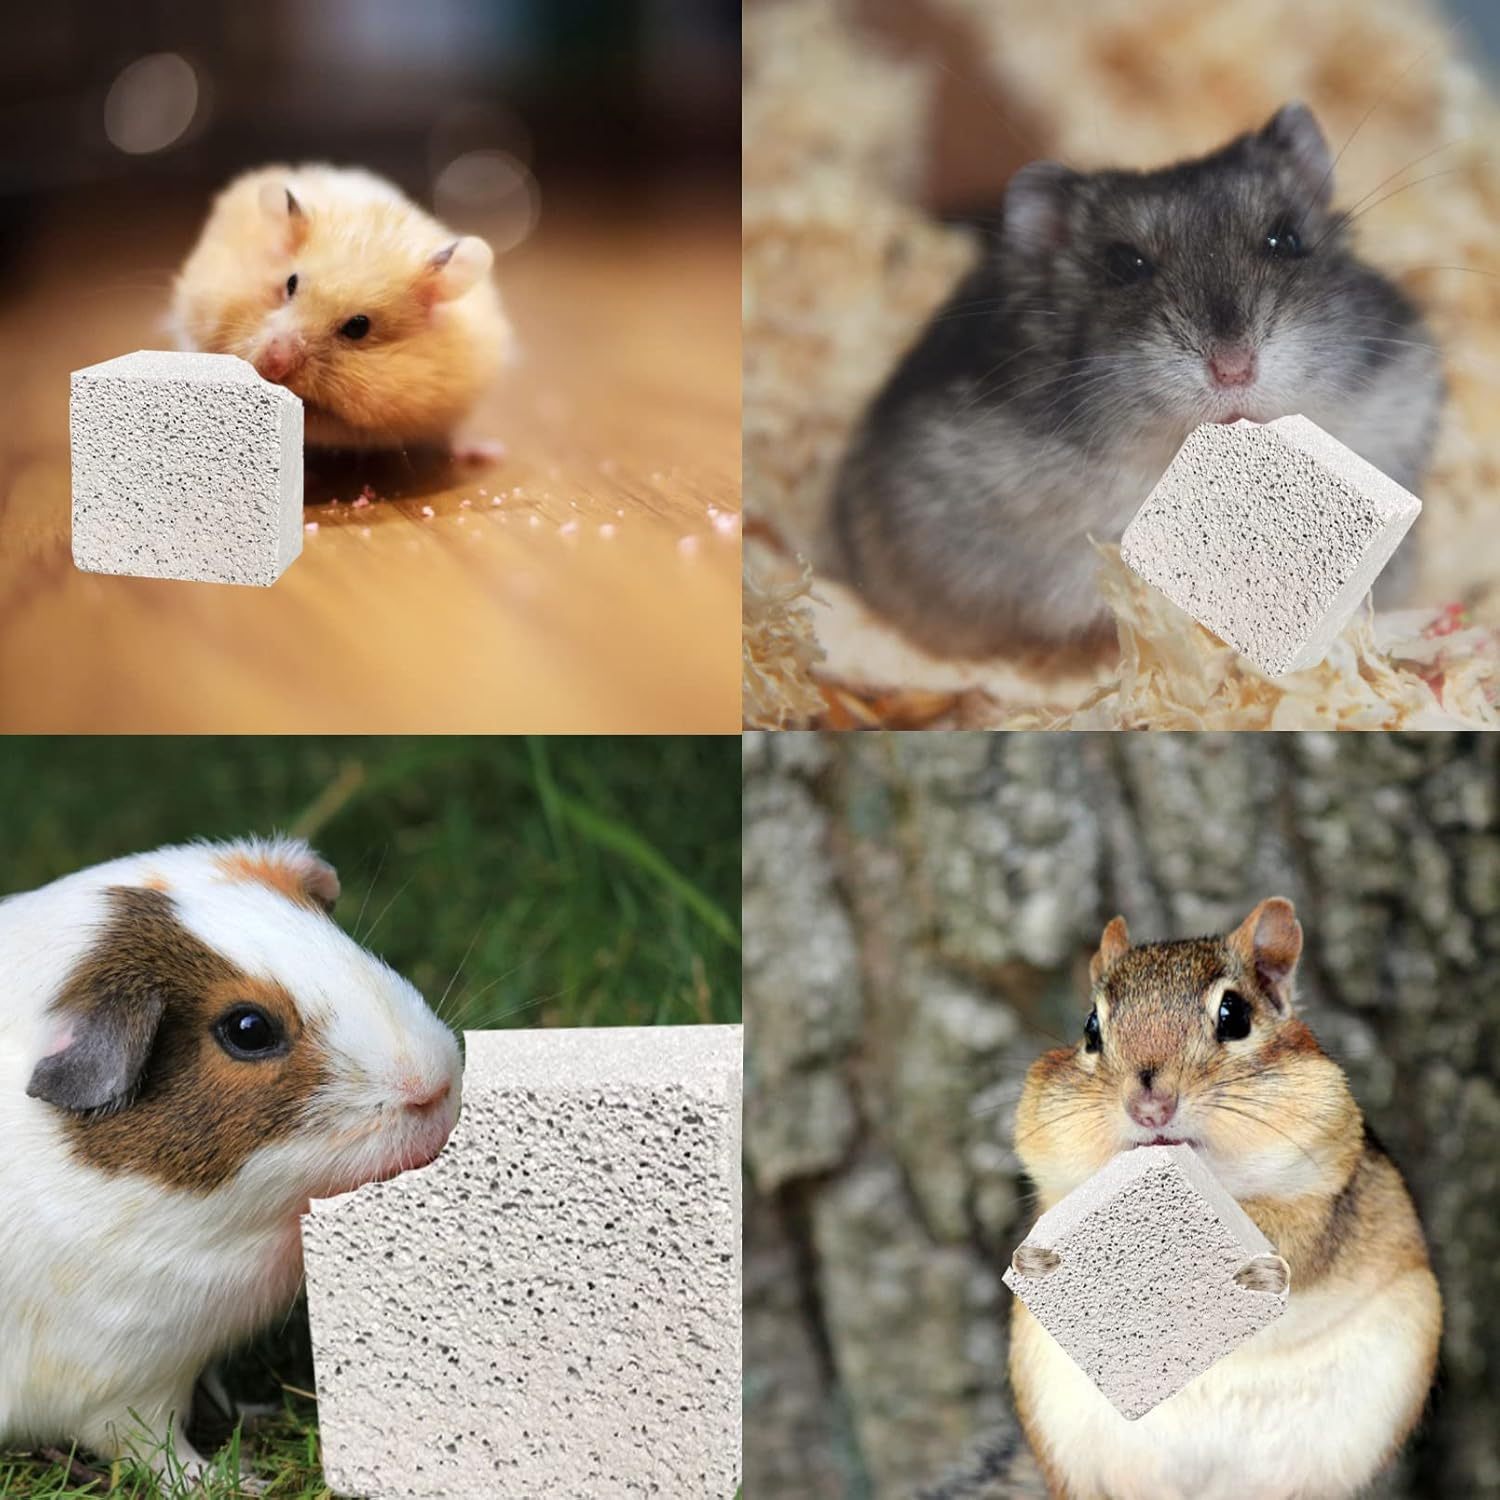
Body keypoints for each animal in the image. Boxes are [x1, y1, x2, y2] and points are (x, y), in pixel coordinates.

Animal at [0, 837, 463, 1484]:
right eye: (248, 1028)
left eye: (346, 944)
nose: (436, 1088)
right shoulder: (118, 1377)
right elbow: (153, 1448)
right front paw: (236, 1478)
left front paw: (249, 1410)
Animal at [1002, 900, 1440, 1500]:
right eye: (1090, 1029)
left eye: (1234, 1017)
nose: (1151, 1106)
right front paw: (1043, 1259)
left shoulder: (1327, 1194)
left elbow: (1295, 1243)